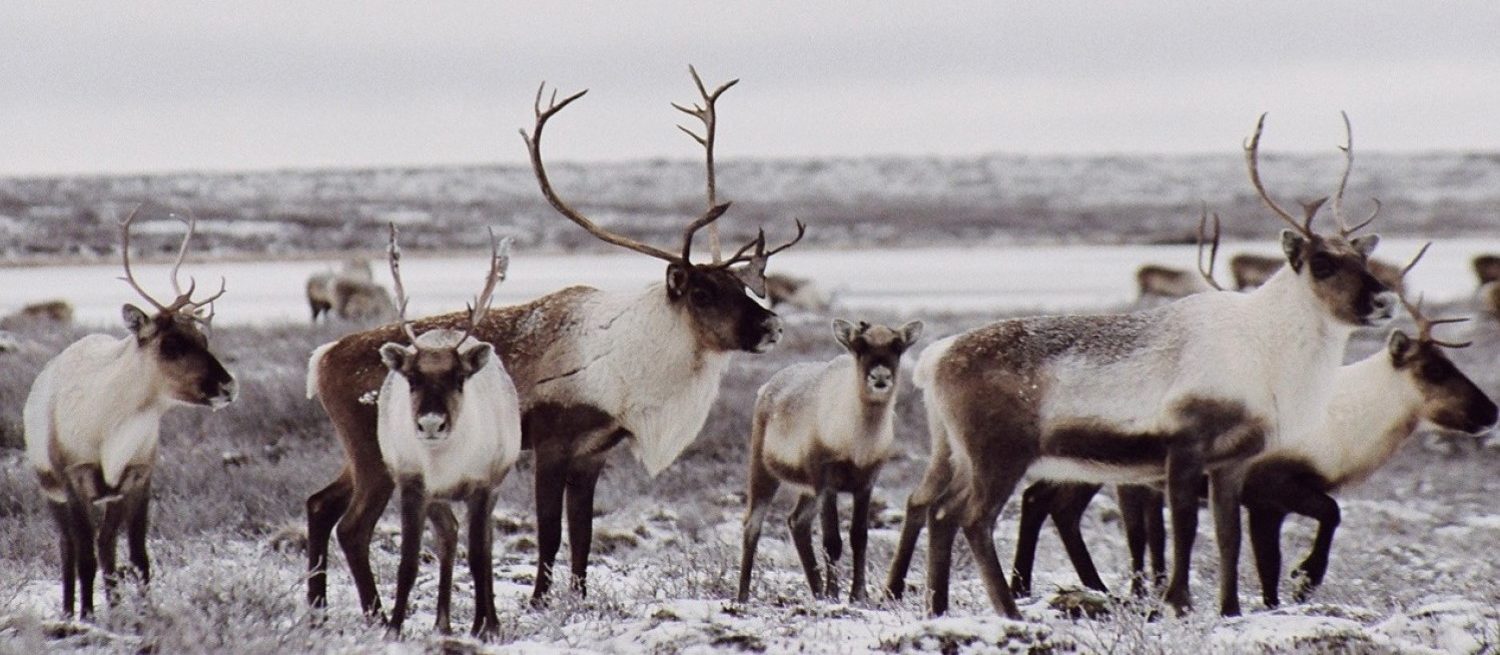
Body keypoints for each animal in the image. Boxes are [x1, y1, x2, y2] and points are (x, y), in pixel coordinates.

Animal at [735, 319, 918, 599]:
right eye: (859, 345)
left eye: (897, 346)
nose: (880, 377)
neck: (857, 441)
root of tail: (766, 388)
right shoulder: (827, 483)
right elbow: (832, 540)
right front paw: (835, 594)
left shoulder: (865, 484)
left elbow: (859, 537)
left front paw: (858, 594)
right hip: (764, 472)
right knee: (752, 525)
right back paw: (743, 596)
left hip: (808, 489)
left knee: (797, 521)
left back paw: (817, 590)